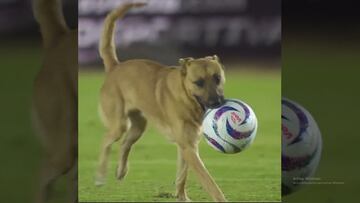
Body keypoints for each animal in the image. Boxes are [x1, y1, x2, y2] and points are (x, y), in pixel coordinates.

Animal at [94, 2, 226, 202]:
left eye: (217, 78)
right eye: (199, 82)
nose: (217, 103)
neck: (186, 98)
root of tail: (116, 67)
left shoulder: (188, 145)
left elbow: (182, 176)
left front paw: (181, 197)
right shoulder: (188, 147)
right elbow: (208, 180)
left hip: (138, 127)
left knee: (124, 144)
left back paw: (121, 171)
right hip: (119, 125)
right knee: (105, 141)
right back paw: (101, 176)